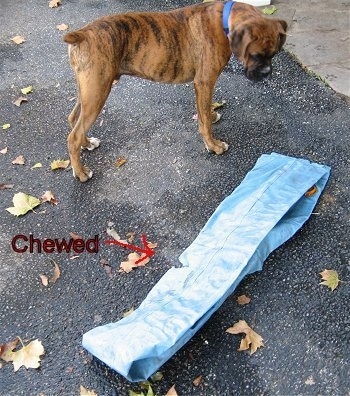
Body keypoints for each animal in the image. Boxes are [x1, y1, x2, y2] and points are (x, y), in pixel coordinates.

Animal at [63, 0, 288, 181]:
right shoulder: (204, 82)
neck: (223, 20)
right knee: (73, 136)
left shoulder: (204, 86)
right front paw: (213, 145)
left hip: (89, 91)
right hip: (97, 93)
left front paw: (211, 114)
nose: (267, 72)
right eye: (256, 55)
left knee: (74, 119)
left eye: (274, 54)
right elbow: (205, 122)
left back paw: (87, 143)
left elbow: (204, 111)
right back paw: (81, 172)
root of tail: (83, 34)